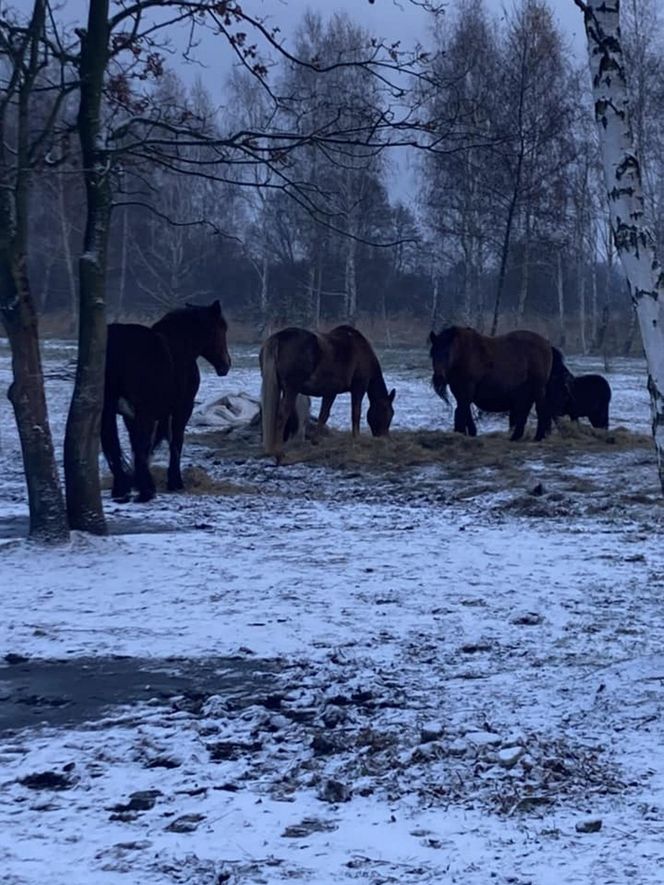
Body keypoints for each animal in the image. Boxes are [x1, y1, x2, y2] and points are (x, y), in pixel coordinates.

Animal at [100, 300, 231, 500]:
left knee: (114, 445)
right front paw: (174, 482)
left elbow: (139, 444)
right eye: (221, 328)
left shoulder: (131, 414)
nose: (226, 364)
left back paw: (122, 488)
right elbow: (174, 441)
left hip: (110, 410)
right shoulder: (181, 409)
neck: (180, 346)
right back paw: (146, 491)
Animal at [260, 322, 394, 456]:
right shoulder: (359, 387)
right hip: (291, 389)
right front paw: (356, 438)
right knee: (282, 415)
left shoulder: (330, 392)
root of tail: (277, 338)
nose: (385, 437)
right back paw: (278, 450)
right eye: (388, 412)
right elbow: (355, 413)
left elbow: (323, 415)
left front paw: (315, 440)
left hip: (281, 388)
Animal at [430, 326, 572, 440]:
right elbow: (463, 411)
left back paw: (538, 437)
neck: (463, 355)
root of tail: (547, 344)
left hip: (538, 388)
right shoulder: (458, 391)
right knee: (525, 412)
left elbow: (462, 411)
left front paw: (464, 433)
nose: (439, 377)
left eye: (447, 353)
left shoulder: (467, 389)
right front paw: (468, 432)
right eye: (433, 354)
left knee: (541, 409)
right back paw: (516, 437)